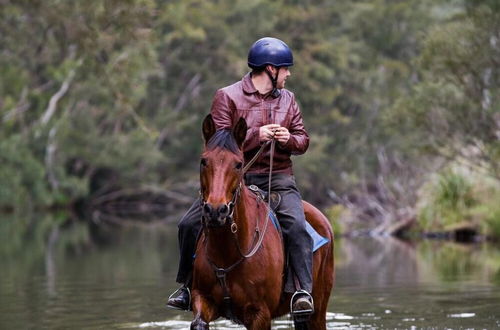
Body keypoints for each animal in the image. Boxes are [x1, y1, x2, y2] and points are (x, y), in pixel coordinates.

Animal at [191, 114, 336, 330]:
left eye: (238, 164)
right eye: (203, 161)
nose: (217, 211)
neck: (229, 252)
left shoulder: (260, 314)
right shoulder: (202, 298)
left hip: (318, 309)